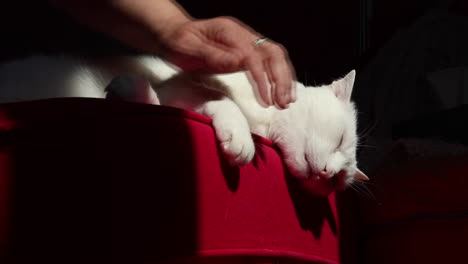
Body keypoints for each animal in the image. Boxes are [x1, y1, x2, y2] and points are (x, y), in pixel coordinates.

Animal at [0, 55, 368, 194]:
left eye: (338, 180)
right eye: (340, 139)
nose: (327, 174)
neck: (264, 122)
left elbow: (165, 104)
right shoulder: (188, 81)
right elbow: (219, 97)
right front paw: (240, 137)